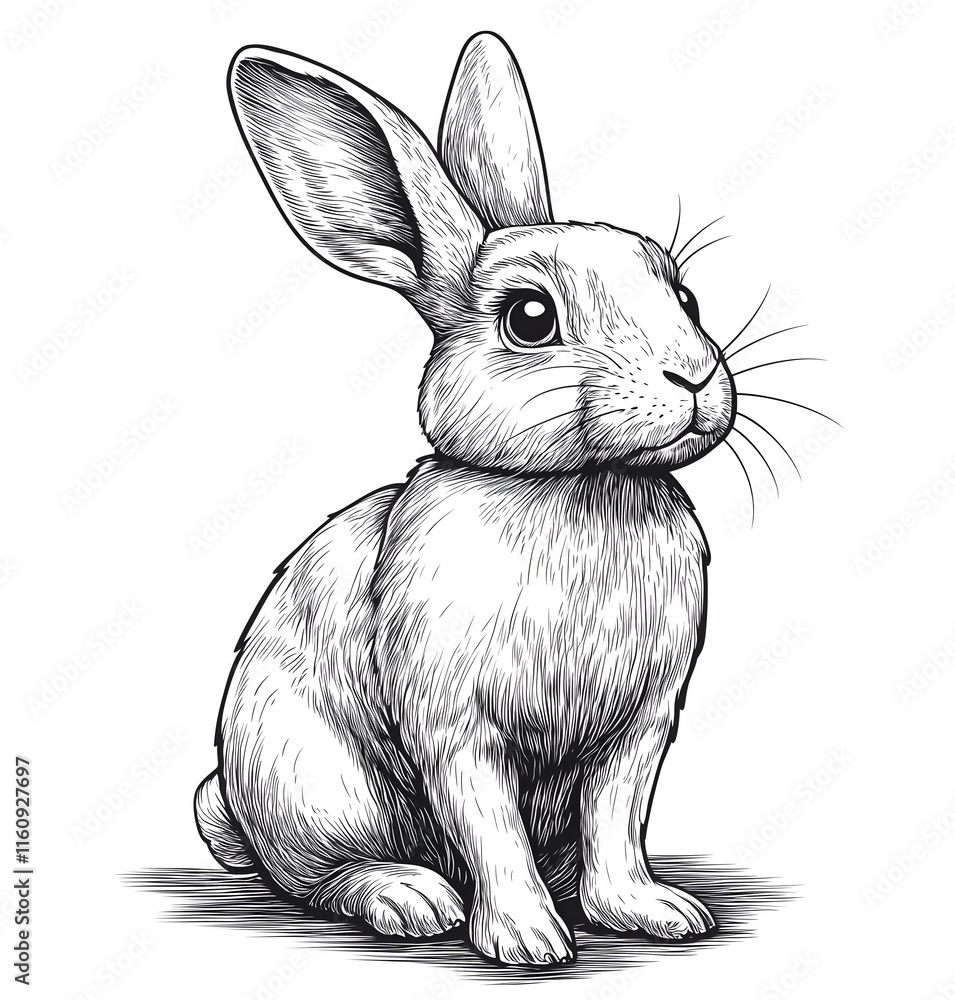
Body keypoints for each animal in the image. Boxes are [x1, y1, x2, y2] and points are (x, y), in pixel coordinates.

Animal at [195, 32, 737, 967]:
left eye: (685, 296)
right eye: (529, 317)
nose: (694, 376)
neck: (575, 488)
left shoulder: (638, 729)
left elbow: (615, 825)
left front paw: (653, 912)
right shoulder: (456, 729)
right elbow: (491, 829)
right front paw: (527, 941)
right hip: (312, 778)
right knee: (317, 877)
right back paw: (408, 898)